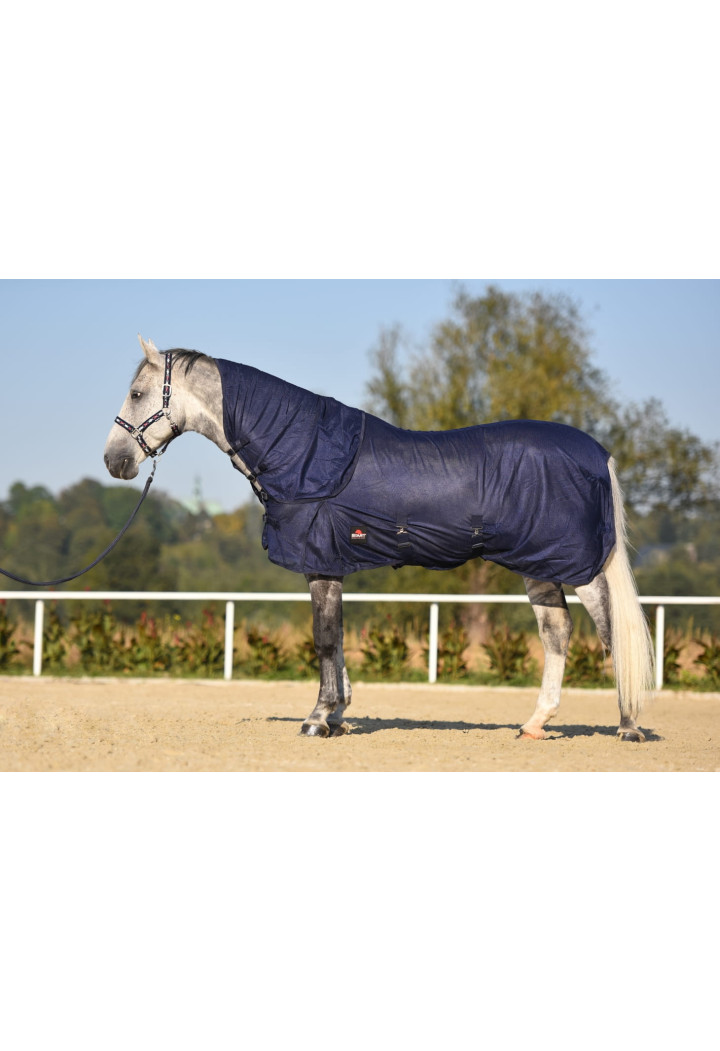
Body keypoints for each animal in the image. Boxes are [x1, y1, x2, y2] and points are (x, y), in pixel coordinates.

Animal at [104, 336, 654, 742]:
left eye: (137, 394)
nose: (115, 461)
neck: (307, 454)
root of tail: (596, 452)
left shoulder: (321, 562)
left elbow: (324, 638)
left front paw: (317, 718)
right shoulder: (330, 564)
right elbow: (338, 636)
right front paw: (339, 715)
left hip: (578, 566)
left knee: (611, 632)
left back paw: (628, 726)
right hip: (538, 565)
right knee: (557, 633)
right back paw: (535, 724)